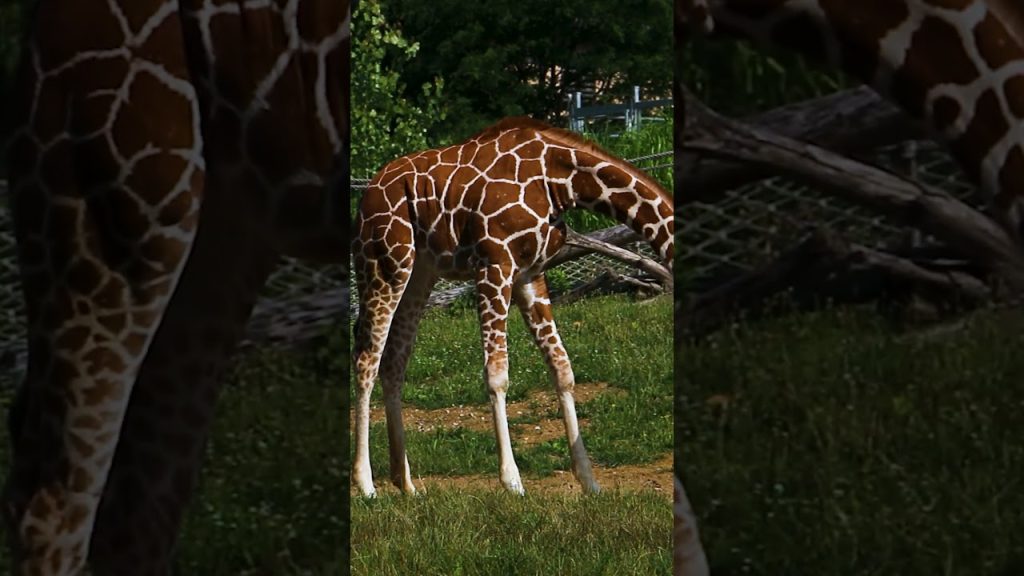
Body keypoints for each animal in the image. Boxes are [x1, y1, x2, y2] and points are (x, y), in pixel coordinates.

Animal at [351, 117, 674, 497]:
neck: (561, 180)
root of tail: (367, 194)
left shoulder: (530, 273)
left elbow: (562, 369)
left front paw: (589, 481)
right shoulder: (494, 265)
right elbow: (497, 374)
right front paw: (512, 481)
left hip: (421, 272)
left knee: (394, 361)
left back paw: (406, 484)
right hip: (385, 263)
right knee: (367, 359)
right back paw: (366, 484)